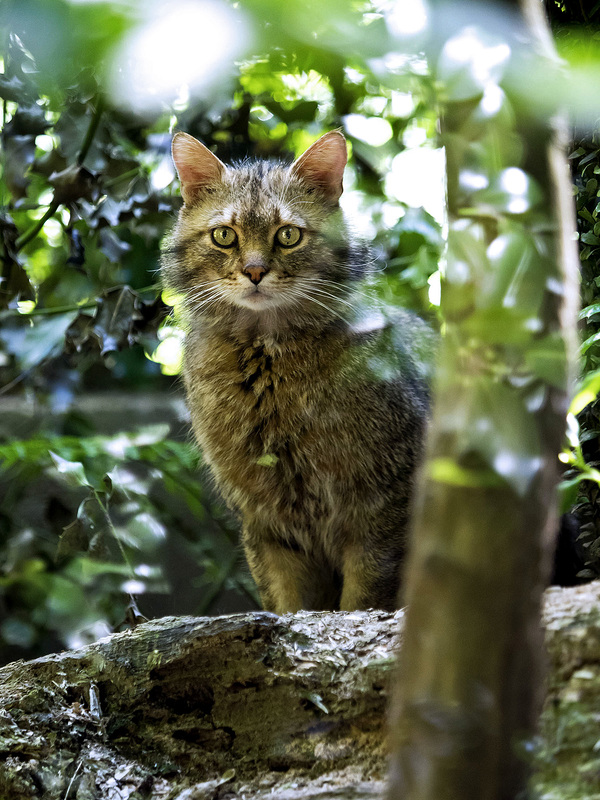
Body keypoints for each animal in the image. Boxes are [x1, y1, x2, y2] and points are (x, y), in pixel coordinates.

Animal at [162, 130, 428, 612]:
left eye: (287, 235)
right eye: (224, 236)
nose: (254, 271)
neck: (268, 363)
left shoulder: (383, 511)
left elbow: (362, 601)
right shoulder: (265, 523)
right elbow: (287, 605)